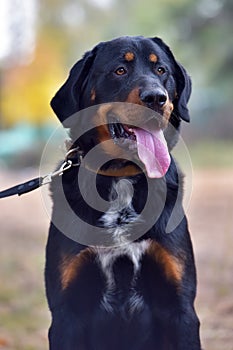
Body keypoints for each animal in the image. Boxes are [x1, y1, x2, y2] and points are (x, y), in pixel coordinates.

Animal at [46, 36, 202, 350]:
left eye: (161, 70)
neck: (122, 178)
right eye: (120, 70)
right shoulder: (67, 311)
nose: (156, 98)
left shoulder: (180, 307)